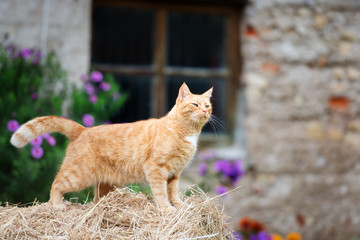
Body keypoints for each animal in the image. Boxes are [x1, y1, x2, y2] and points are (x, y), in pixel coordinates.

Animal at [9, 83, 212, 212]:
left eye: (208, 105)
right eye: (195, 104)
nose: (204, 111)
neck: (185, 131)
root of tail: (83, 129)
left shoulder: (175, 173)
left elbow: (173, 192)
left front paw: (180, 206)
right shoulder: (157, 169)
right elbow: (161, 193)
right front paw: (167, 209)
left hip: (103, 184)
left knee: (95, 199)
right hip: (78, 175)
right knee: (56, 184)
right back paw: (56, 205)